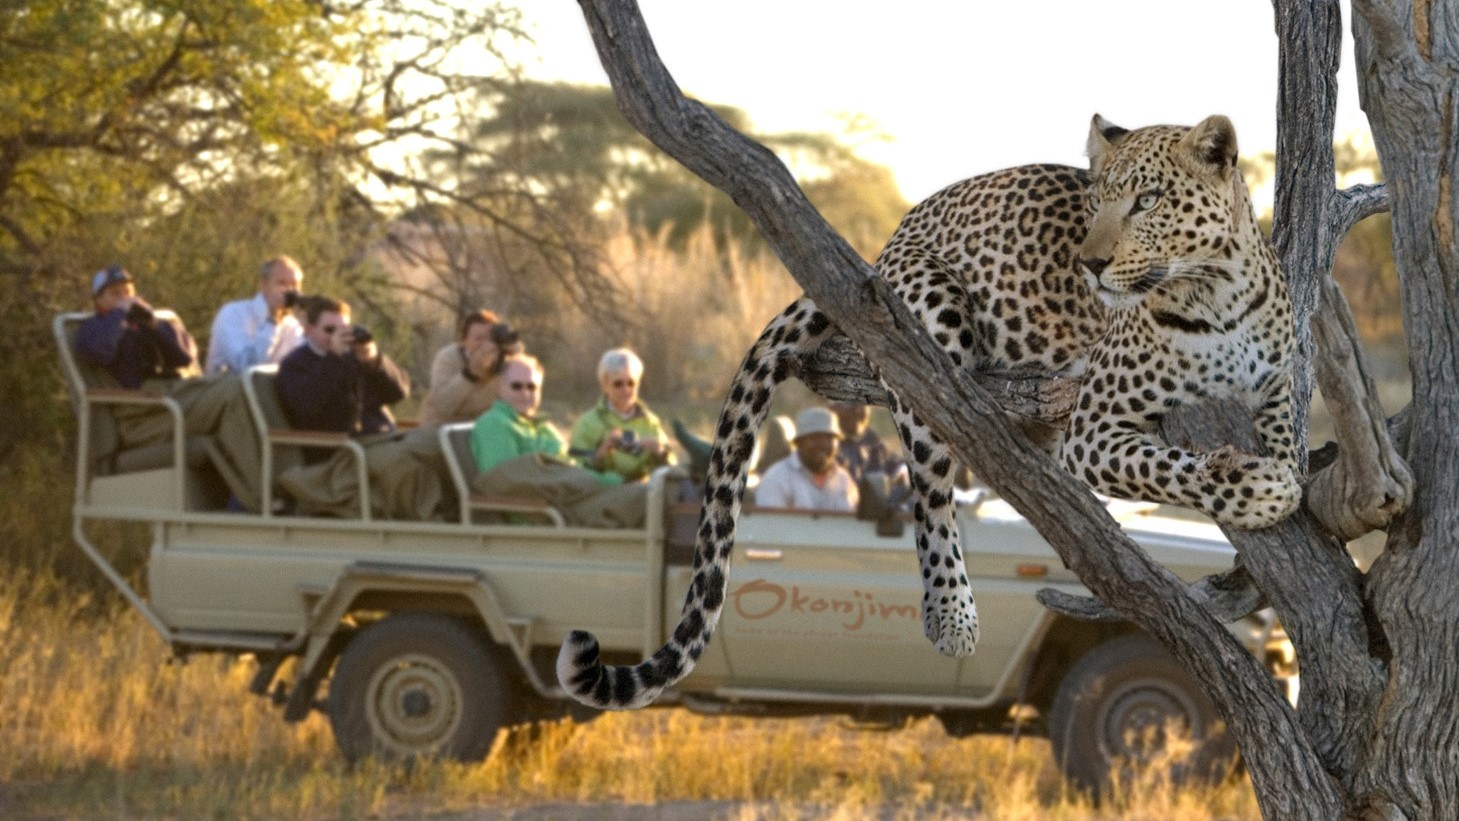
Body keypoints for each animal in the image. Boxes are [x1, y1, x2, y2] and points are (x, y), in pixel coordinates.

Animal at [554, 112, 1301, 708]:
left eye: (1147, 201)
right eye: (1095, 203)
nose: (1090, 264)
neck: (1216, 295)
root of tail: (886, 240)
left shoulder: (1281, 394)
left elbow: (1289, 455)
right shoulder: (1094, 429)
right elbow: (1179, 467)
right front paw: (1259, 488)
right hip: (927, 324)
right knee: (934, 472)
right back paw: (951, 612)